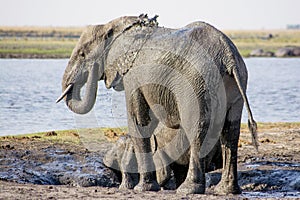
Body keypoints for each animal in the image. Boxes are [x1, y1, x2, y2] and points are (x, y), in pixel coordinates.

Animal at [56, 14, 258, 195]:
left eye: (82, 54)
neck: (120, 25)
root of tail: (228, 57)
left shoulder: (133, 75)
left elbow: (139, 121)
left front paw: (143, 189)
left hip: (197, 83)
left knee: (197, 129)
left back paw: (187, 190)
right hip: (235, 86)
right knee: (230, 132)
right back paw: (225, 190)